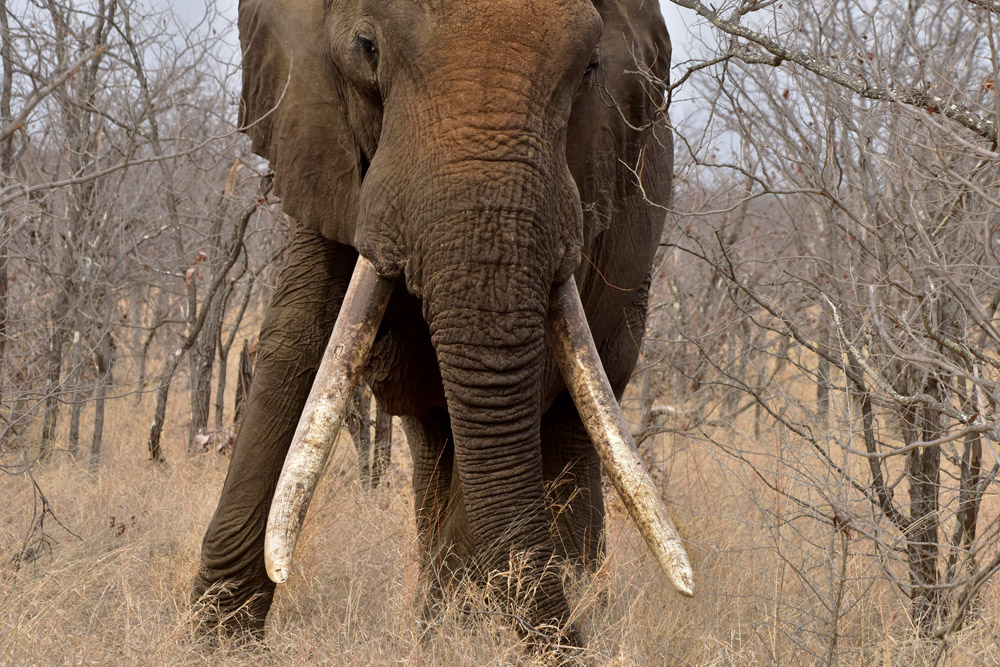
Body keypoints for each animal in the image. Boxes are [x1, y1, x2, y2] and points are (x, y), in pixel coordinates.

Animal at [193, 0, 696, 648]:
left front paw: (460, 635)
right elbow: (298, 342)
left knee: (571, 420)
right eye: (367, 48)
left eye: (590, 68)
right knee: (435, 440)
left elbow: (529, 383)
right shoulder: (323, 149)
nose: (568, 649)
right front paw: (214, 640)